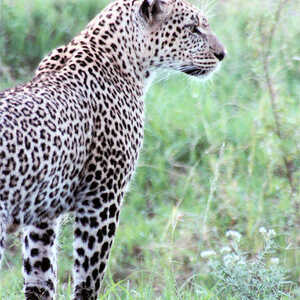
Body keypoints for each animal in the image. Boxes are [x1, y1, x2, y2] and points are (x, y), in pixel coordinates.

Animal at [0, 0, 225, 298]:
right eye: (193, 28)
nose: (222, 54)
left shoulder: (42, 215)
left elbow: (40, 280)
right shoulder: (102, 199)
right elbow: (88, 279)